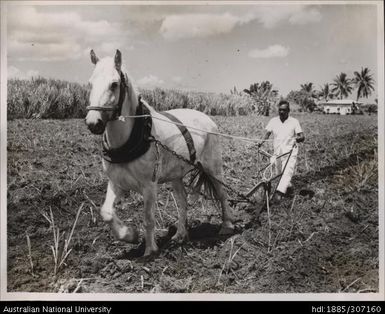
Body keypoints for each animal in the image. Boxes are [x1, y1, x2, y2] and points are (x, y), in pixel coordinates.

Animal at [85, 48, 234, 255]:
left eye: (114, 84)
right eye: (90, 83)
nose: (93, 123)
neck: (130, 141)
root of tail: (206, 118)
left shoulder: (149, 185)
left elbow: (148, 218)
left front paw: (150, 250)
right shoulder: (116, 182)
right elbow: (106, 212)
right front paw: (129, 235)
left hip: (213, 168)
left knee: (222, 194)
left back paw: (227, 226)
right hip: (176, 175)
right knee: (183, 202)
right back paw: (180, 235)